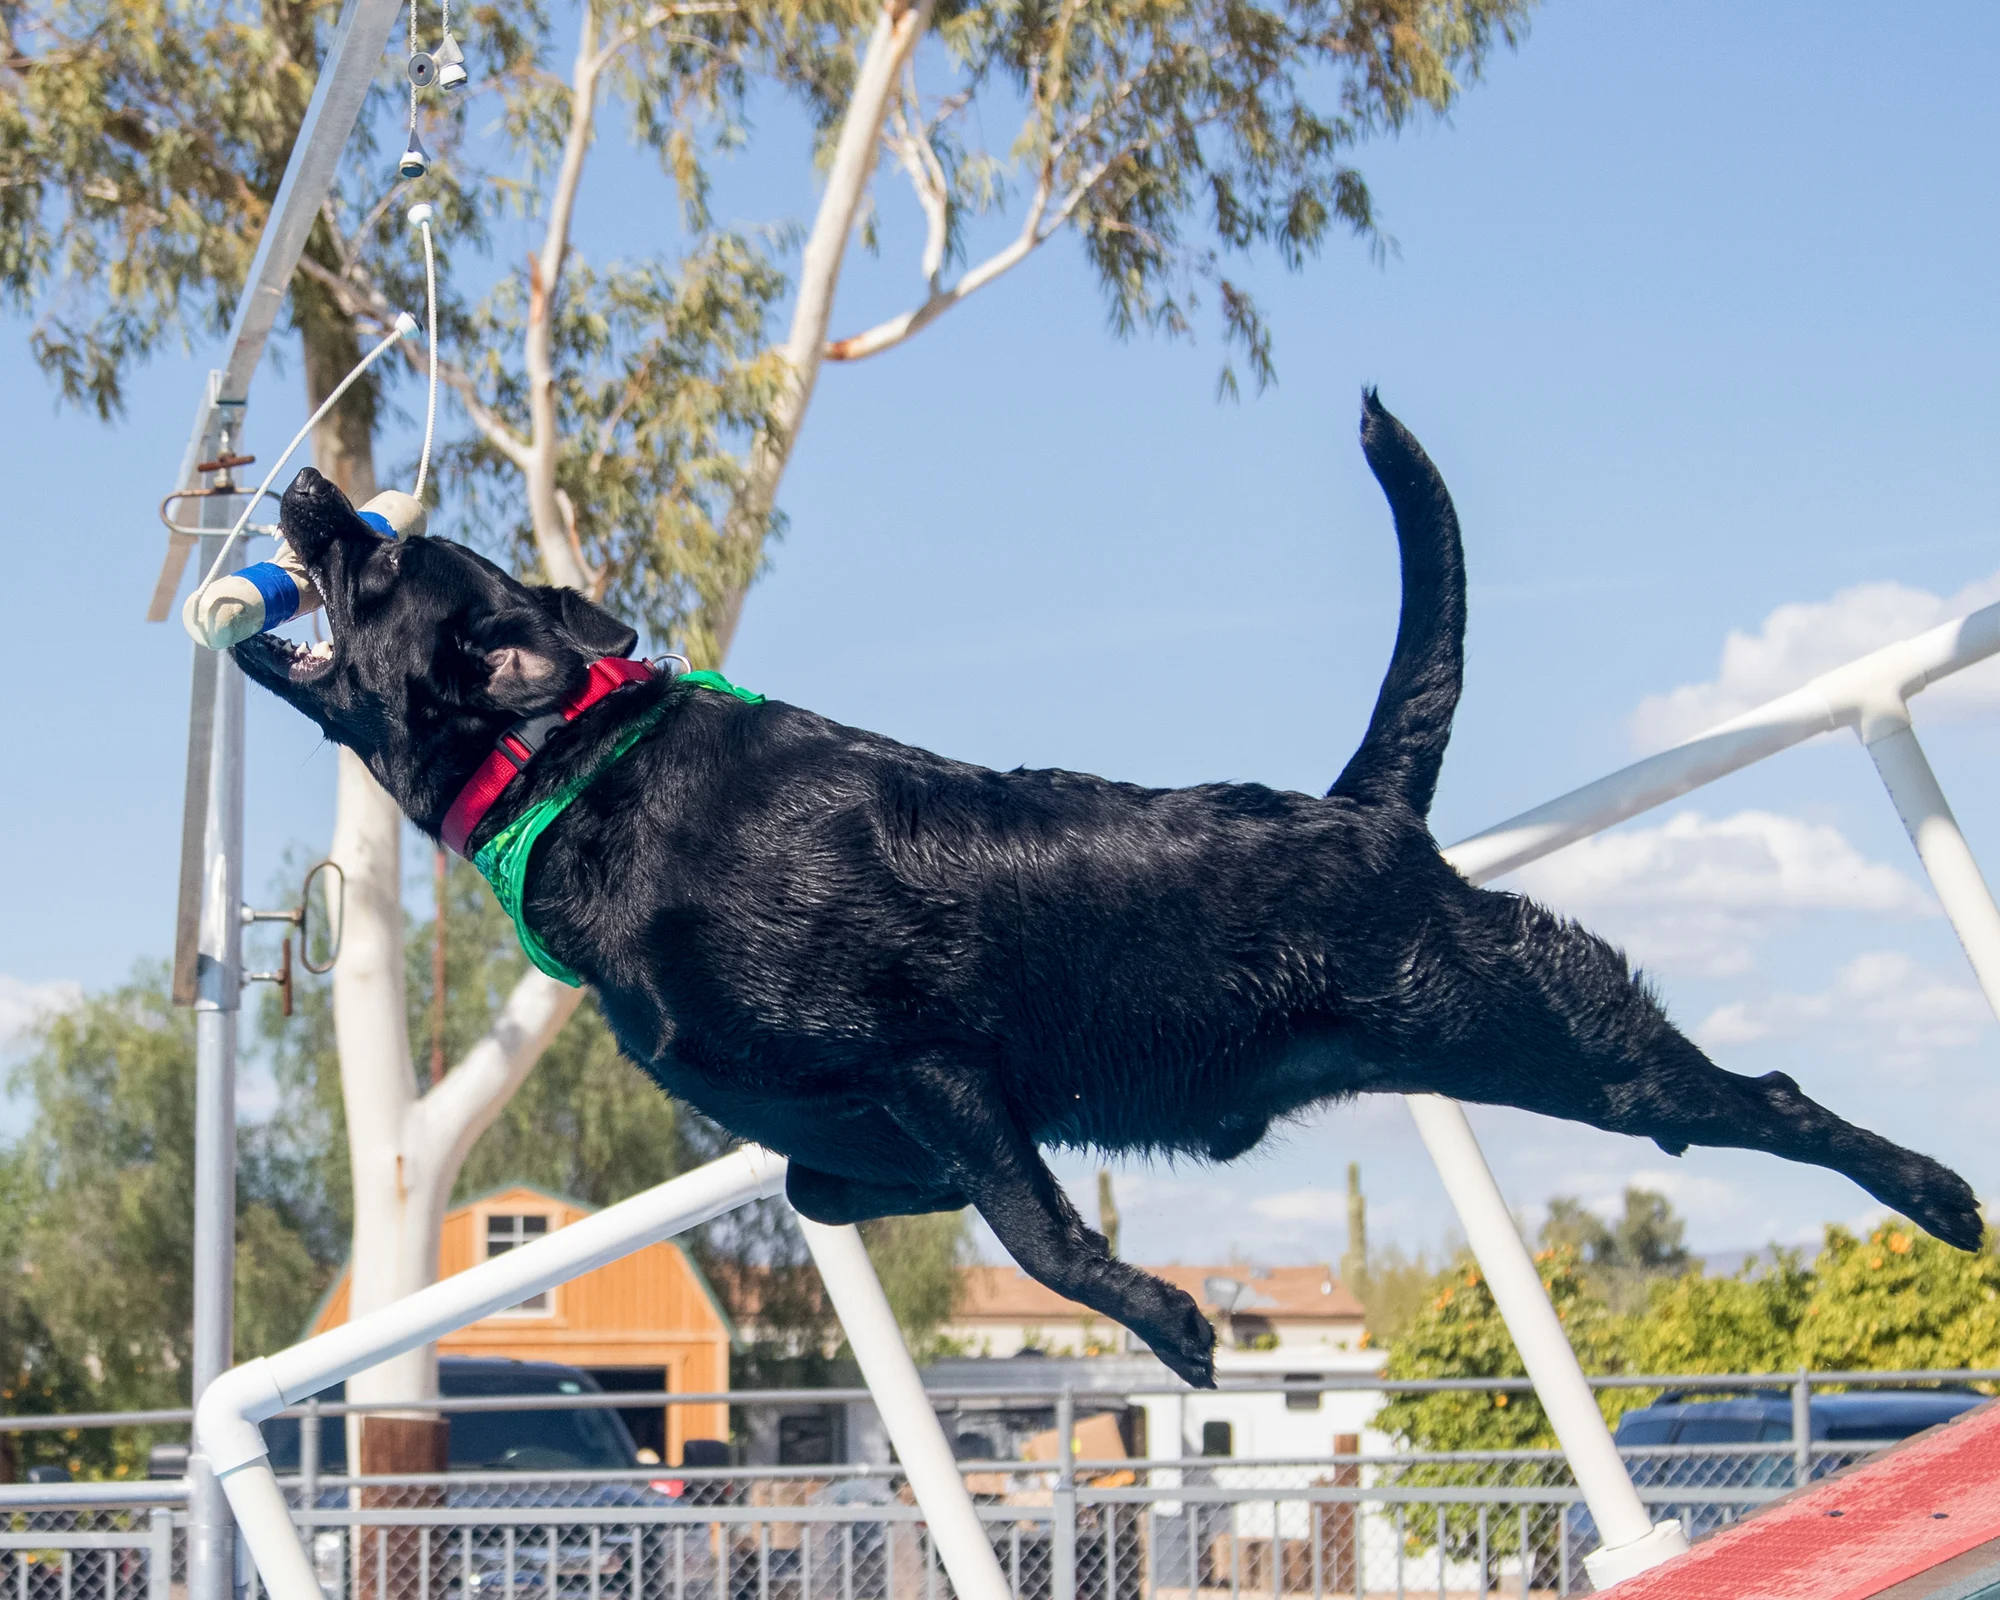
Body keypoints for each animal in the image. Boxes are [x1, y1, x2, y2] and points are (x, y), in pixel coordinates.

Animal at [238, 396, 1984, 1384]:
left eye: (377, 564)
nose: (306, 487)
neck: (581, 770)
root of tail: (1366, 812)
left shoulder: (939, 1059)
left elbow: (1036, 1232)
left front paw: (1170, 1320)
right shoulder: (879, 1117)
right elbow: (828, 1186)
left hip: (1551, 1031)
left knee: (1758, 1098)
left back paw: (1938, 1194)